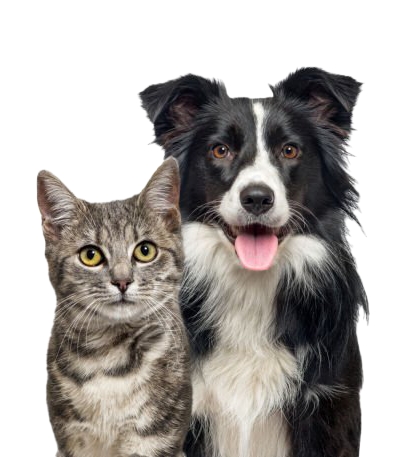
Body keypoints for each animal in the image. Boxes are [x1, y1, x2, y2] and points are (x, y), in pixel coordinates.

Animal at [37, 158, 192, 456]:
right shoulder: (70, 439)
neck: (108, 354)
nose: (122, 281)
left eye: (145, 250)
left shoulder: (157, 438)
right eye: (90, 255)